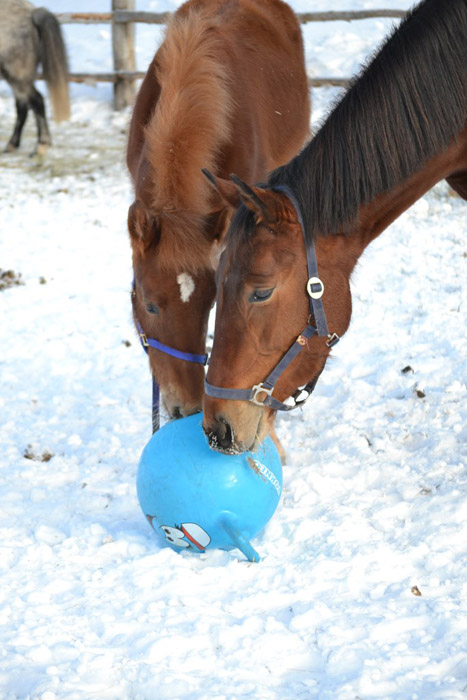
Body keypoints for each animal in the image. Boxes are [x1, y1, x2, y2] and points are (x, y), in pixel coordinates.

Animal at [0, 0, 70, 154]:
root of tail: (31, 13)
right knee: (23, 107)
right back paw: (13, 144)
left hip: (17, 76)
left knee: (36, 102)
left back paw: (41, 145)